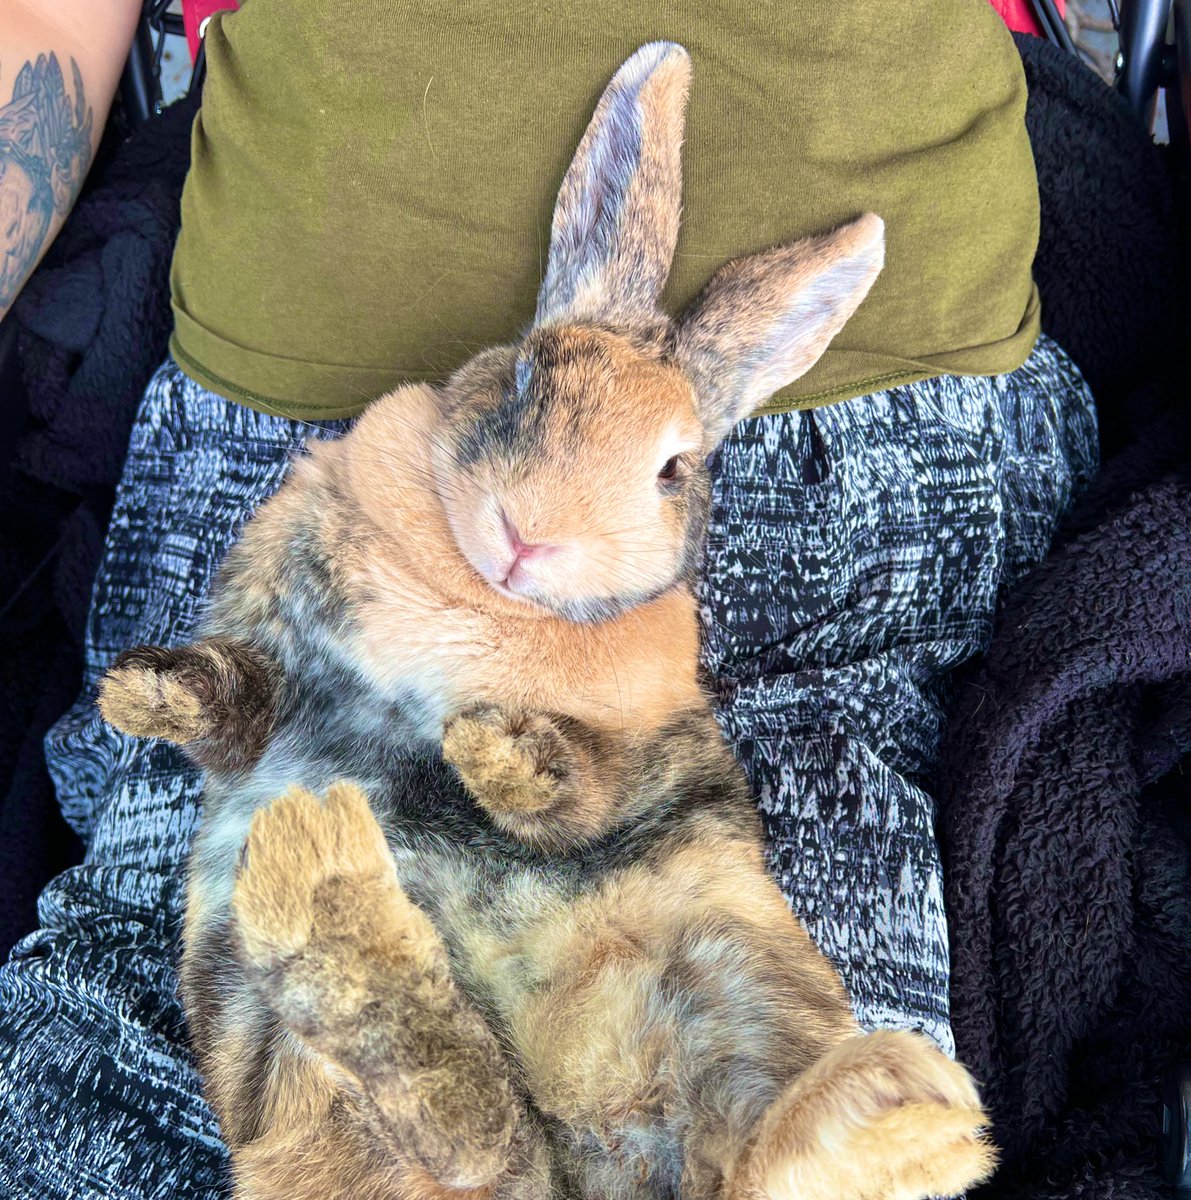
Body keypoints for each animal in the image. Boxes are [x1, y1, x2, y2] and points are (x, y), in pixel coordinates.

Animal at [98, 42, 996, 1200]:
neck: (480, 596)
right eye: (526, 373)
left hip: (723, 970)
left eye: (674, 468)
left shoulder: (648, 742)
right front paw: (136, 688)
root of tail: (586, 1176)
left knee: (684, 1153)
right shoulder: (280, 686)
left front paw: (489, 747)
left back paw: (905, 1117)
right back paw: (323, 859)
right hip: (279, 1043)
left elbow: (577, 786)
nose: (528, 536)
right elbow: (230, 697)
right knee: (463, 1123)